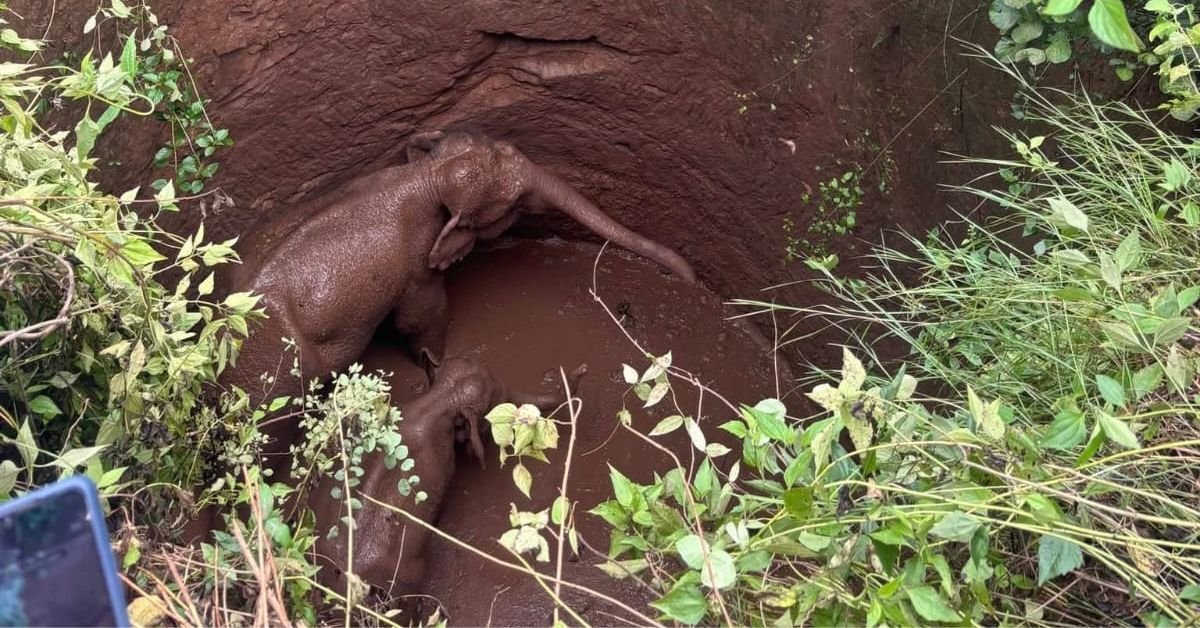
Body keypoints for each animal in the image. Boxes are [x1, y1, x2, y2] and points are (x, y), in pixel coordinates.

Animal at [218, 131, 694, 471]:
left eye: (508, 146)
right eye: (513, 201)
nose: (687, 274)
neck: (423, 176)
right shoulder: (416, 267)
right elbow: (420, 317)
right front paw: (433, 361)